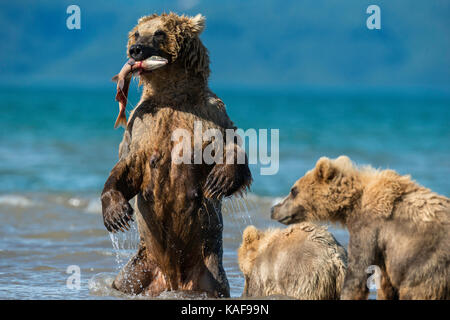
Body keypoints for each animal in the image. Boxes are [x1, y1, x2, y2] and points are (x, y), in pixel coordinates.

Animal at [100, 13, 251, 298]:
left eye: (159, 33)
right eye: (136, 33)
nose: (135, 50)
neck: (172, 95)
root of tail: (170, 280)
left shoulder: (209, 114)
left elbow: (231, 145)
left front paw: (219, 180)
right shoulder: (142, 125)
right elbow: (126, 166)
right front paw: (116, 215)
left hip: (208, 266)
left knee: (216, 282)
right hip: (140, 265)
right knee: (122, 281)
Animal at [268, 156, 448, 300]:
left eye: (293, 190)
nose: (273, 209)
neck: (353, 204)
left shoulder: (370, 228)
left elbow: (358, 271)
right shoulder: (384, 248)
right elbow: (385, 282)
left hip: (427, 262)